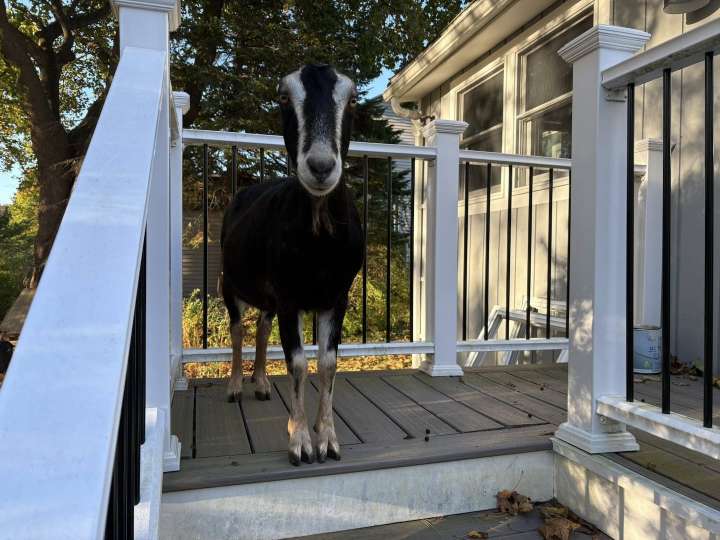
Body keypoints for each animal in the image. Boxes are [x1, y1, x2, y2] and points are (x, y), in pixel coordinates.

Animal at [220, 65, 363, 466]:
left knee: (262, 328)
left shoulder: (337, 296)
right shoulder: (288, 297)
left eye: (353, 98)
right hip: (229, 283)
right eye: (284, 97)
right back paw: (236, 386)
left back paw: (261, 383)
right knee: (238, 329)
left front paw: (327, 438)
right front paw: (300, 442)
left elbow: (328, 363)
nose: (321, 166)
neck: (319, 244)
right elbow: (297, 363)